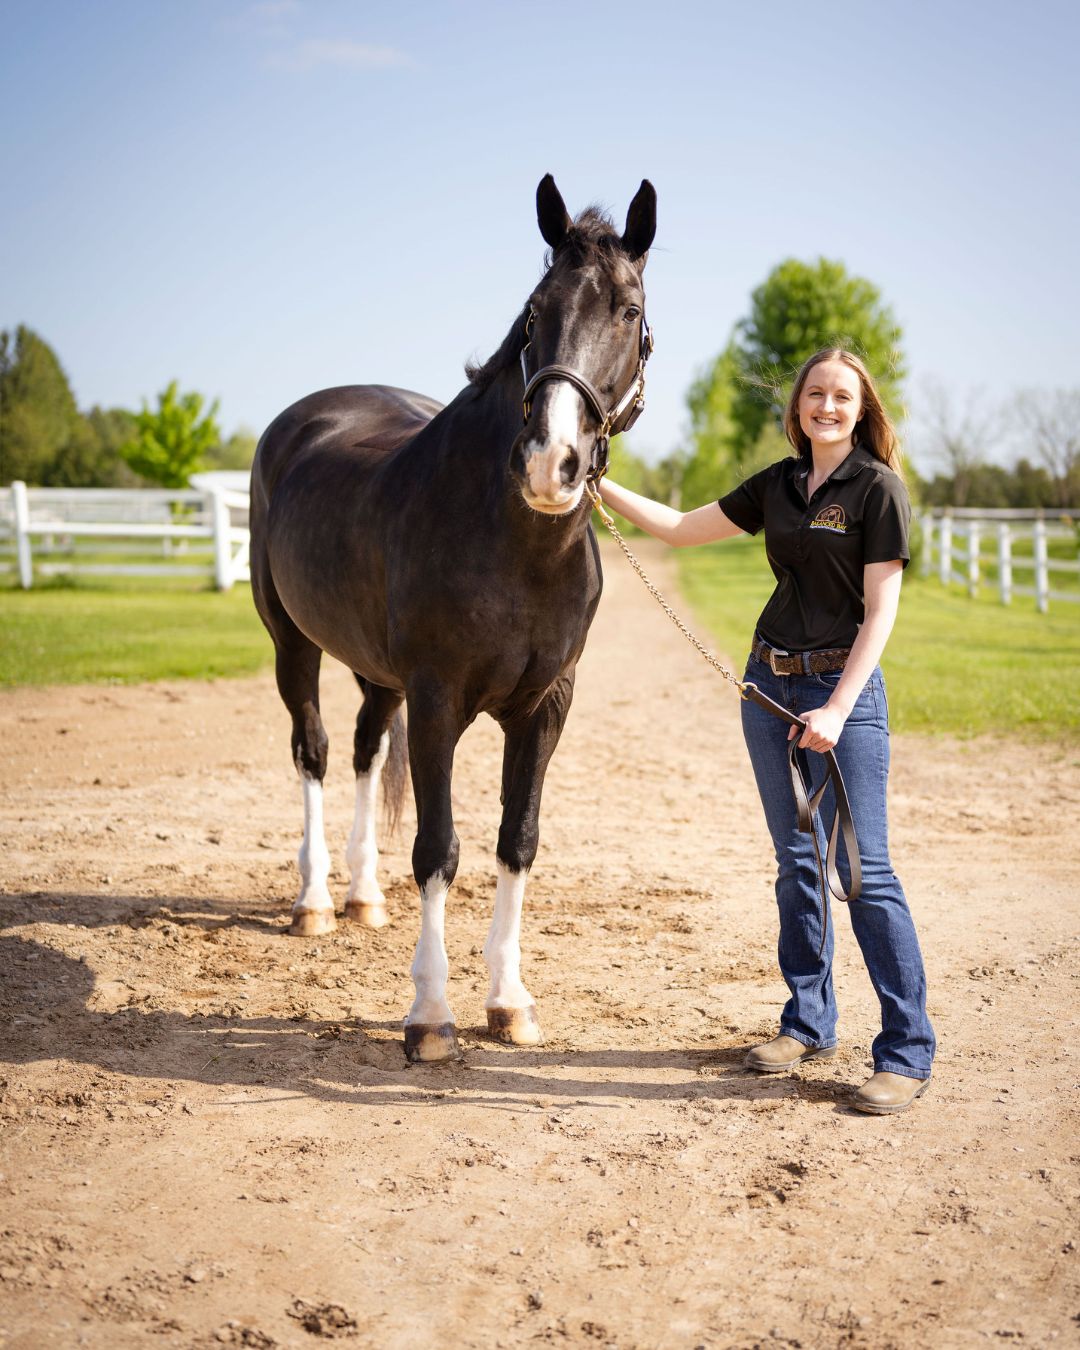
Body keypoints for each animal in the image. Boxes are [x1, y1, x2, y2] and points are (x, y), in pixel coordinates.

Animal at [249, 175, 657, 1062]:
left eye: (630, 311)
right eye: (535, 311)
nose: (550, 464)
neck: (517, 544)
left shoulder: (545, 707)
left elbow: (516, 841)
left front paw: (508, 1000)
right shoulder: (437, 699)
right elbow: (438, 849)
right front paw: (430, 1014)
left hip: (376, 672)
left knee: (366, 753)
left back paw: (363, 896)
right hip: (294, 644)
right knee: (315, 752)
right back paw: (316, 902)